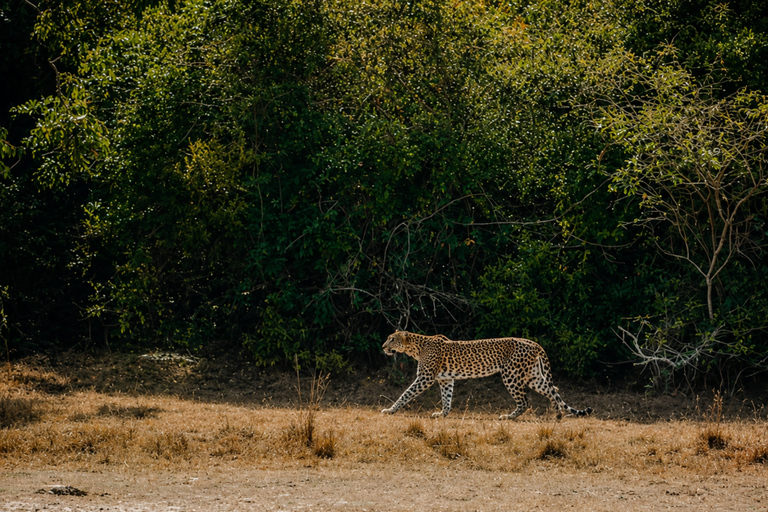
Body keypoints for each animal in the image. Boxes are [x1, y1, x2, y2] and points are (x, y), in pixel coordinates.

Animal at [381, 330, 592, 420]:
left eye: (392, 339)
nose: (383, 347)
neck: (416, 347)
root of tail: (534, 343)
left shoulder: (425, 378)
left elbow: (406, 394)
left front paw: (390, 410)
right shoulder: (446, 379)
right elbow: (446, 398)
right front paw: (443, 414)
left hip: (511, 374)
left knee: (525, 401)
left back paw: (508, 417)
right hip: (533, 376)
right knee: (553, 390)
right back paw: (558, 413)